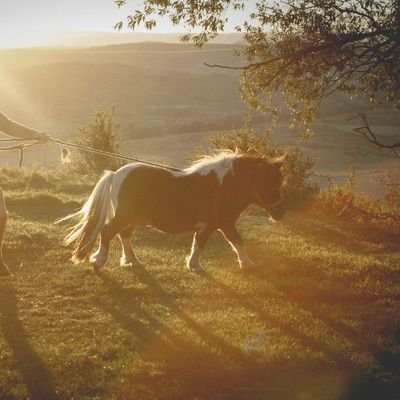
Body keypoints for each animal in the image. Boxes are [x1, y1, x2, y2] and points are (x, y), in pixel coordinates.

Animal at [61, 152, 286, 270]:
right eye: (268, 183)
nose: (280, 213)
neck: (224, 185)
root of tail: (115, 174)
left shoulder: (210, 225)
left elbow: (199, 243)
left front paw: (193, 265)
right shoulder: (224, 224)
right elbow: (236, 242)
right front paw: (247, 264)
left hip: (133, 218)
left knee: (124, 235)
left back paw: (131, 260)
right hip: (124, 216)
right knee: (108, 232)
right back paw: (99, 261)